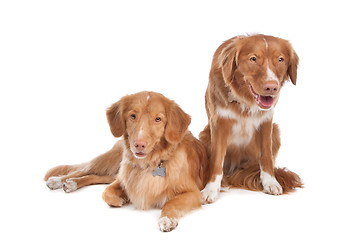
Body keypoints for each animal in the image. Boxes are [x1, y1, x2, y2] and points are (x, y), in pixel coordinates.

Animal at [200, 33, 304, 202]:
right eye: (253, 59)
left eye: (280, 59)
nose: (271, 87)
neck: (245, 100)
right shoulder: (219, 124)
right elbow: (216, 161)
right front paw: (210, 190)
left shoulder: (266, 122)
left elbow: (266, 156)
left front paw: (270, 182)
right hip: (204, 135)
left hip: (275, 131)